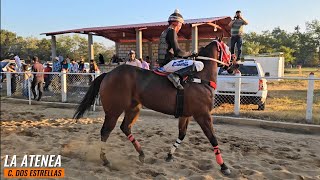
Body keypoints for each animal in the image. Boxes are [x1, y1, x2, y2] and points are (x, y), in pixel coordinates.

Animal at [74, 41, 231, 176]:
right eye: (228, 48)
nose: (232, 63)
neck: (199, 78)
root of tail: (108, 74)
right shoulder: (203, 115)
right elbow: (213, 138)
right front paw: (224, 166)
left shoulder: (186, 115)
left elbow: (182, 135)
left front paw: (169, 155)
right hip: (114, 111)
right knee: (106, 131)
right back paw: (105, 160)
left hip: (133, 108)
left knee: (125, 127)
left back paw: (141, 154)